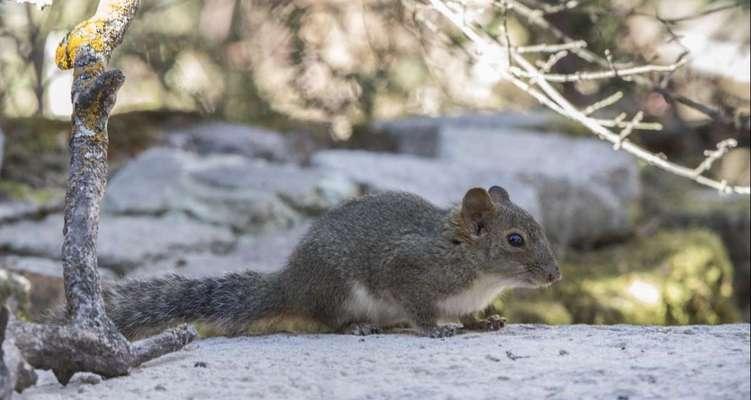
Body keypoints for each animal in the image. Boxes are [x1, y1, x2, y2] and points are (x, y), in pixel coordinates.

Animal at [106, 187, 560, 338]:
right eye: (515, 240)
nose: (555, 275)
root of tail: (290, 284)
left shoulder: (465, 300)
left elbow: (468, 317)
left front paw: (484, 323)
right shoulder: (407, 270)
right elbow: (418, 308)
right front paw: (434, 329)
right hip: (338, 290)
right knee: (326, 321)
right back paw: (358, 326)